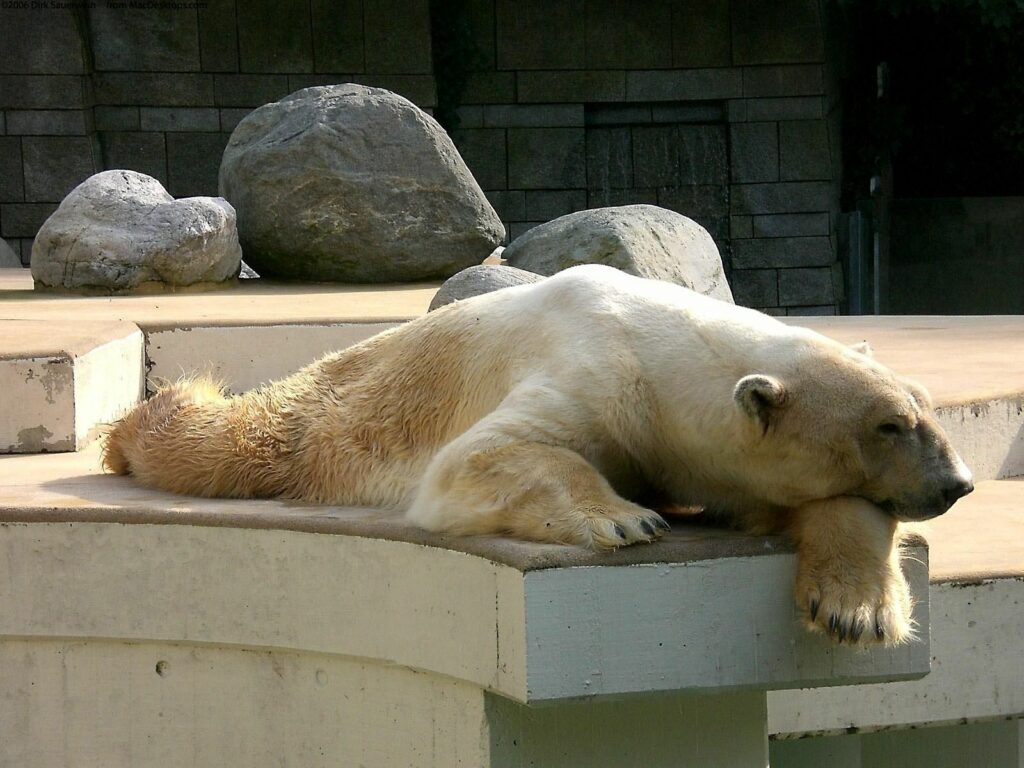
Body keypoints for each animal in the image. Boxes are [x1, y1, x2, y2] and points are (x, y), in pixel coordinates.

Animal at [103, 265, 973, 646]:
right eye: (890, 425)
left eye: (926, 410)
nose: (957, 483)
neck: (664, 352)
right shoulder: (592, 373)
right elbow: (485, 458)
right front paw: (625, 519)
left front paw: (856, 608)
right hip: (327, 415)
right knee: (225, 436)